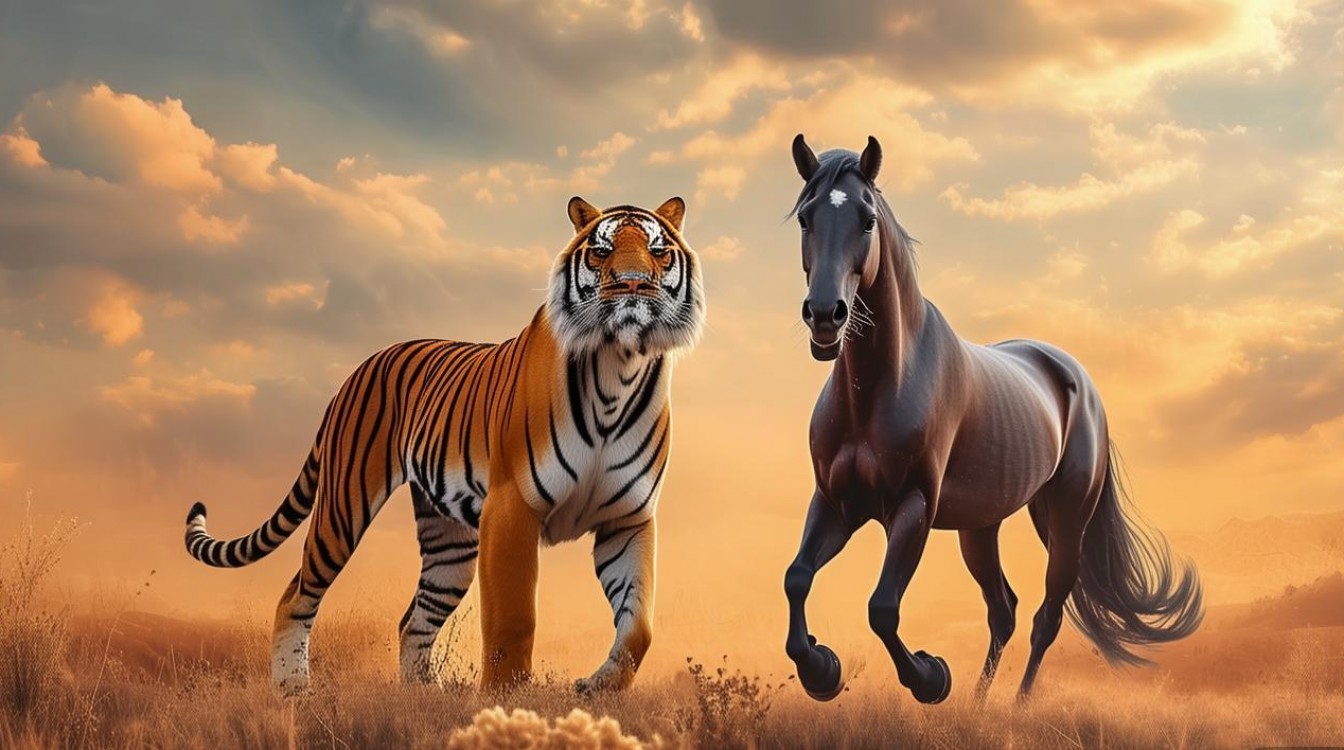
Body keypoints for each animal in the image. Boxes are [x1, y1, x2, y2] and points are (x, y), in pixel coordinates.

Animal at [183, 196, 705, 694]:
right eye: (601, 251)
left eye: (659, 253)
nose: (635, 284)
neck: (619, 365)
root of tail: (360, 367)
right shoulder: (512, 509)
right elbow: (514, 619)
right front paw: (503, 703)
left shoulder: (627, 519)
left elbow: (639, 626)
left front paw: (597, 687)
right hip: (344, 505)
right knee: (296, 595)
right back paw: (293, 688)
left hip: (449, 544)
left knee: (413, 620)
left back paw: (422, 697)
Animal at [781, 134, 1203, 704]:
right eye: (806, 218)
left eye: (867, 221)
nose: (826, 316)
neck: (878, 390)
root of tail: (1075, 377)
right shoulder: (835, 502)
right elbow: (797, 578)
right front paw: (821, 669)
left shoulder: (912, 507)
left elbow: (883, 609)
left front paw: (931, 676)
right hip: (980, 527)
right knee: (1003, 611)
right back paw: (978, 707)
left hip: (1066, 520)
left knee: (1046, 617)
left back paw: (1017, 705)